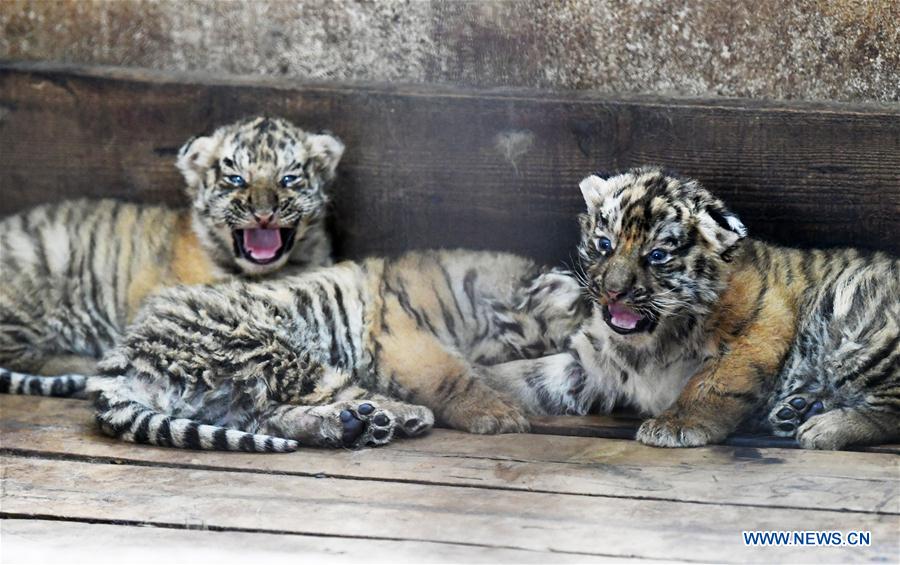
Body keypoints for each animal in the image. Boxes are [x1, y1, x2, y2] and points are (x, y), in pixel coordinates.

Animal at [82, 249, 585, 451]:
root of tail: (120, 361)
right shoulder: (404, 337)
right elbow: (451, 375)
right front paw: (497, 414)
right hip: (268, 343)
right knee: (330, 390)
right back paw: (399, 416)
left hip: (231, 393)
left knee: (271, 416)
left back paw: (350, 425)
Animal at [485, 167, 899, 450]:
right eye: (604, 245)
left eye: (656, 256)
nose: (613, 292)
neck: (651, 339)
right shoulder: (592, 362)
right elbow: (528, 374)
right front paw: (480, 389)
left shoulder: (757, 331)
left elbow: (711, 383)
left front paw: (674, 426)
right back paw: (798, 408)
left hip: (859, 321)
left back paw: (821, 427)